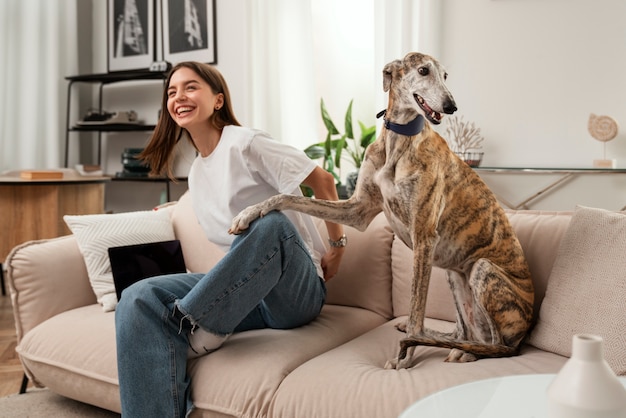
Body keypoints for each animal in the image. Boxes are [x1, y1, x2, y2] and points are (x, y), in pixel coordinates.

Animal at [229, 52, 532, 370]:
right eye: (423, 71)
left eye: (445, 76)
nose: (451, 106)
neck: (398, 141)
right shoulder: (357, 210)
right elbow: (286, 197)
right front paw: (248, 212)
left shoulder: (424, 237)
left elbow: (415, 308)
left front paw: (404, 357)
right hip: (455, 275)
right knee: (464, 331)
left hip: (481, 270)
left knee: (497, 345)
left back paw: (466, 351)